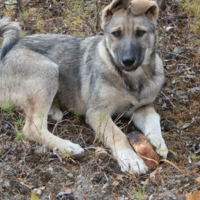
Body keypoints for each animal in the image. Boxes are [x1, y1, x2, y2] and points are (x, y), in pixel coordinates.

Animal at [0, 0, 168, 174]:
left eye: (140, 33)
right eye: (116, 34)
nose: (127, 61)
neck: (133, 79)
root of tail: (10, 49)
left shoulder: (142, 107)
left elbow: (154, 119)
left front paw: (159, 143)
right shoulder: (97, 112)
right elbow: (117, 134)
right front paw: (130, 158)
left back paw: (53, 112)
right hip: (48, 71)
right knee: (32, 129)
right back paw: (68, 147)